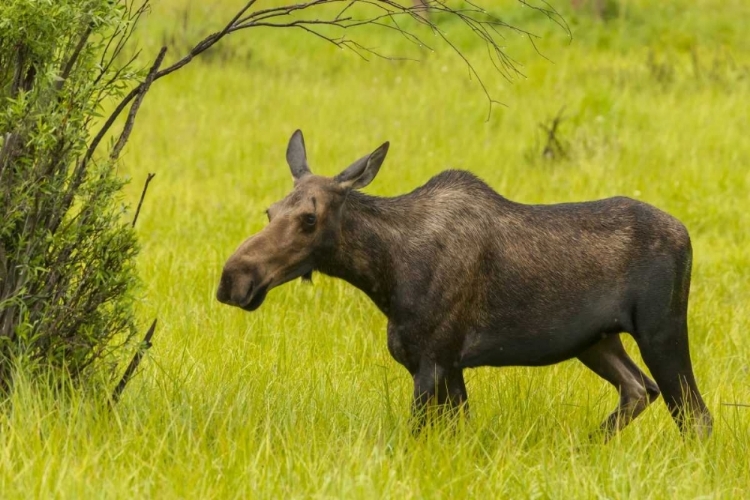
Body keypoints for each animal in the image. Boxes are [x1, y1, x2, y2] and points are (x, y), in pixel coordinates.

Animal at [214, 131, 712, 440]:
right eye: (270, 210)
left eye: (309, 218)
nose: (232, 278)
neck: (384, 276)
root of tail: (686, 234)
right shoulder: (449, 366)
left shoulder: (432, 361)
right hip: (596, 340)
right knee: (639, 389)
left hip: (661, 329)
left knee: (696, 416)